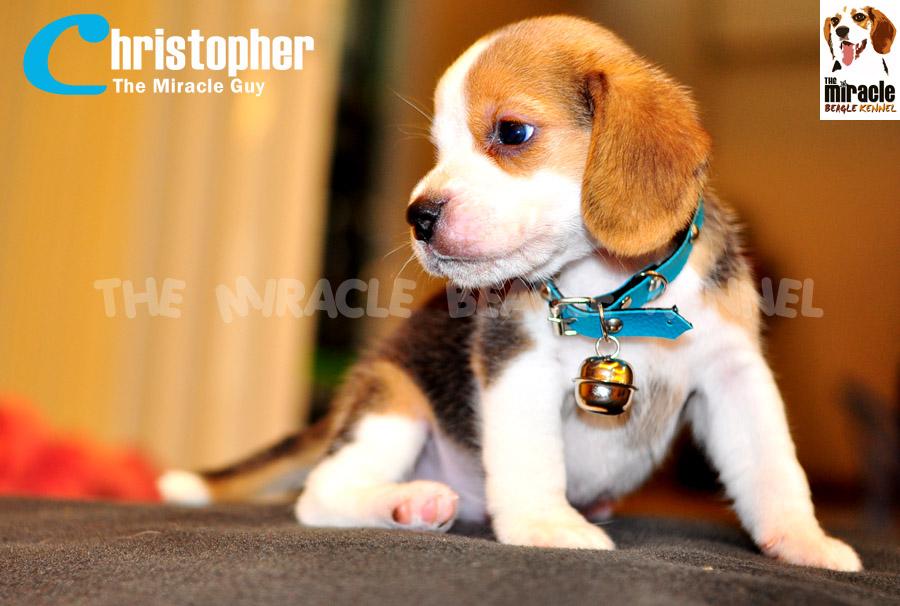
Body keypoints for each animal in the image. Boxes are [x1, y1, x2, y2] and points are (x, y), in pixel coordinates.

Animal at [160, 16, 862, 572]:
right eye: (439, 149)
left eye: (512, 133)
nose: (417, 216)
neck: (613, 298)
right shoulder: (515, 365)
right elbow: (532, 459)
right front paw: (547, 525)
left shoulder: (734, 373)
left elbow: (773, 467)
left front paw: (803, 540)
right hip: (395, 403)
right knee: (321, 494)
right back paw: (408, 502)